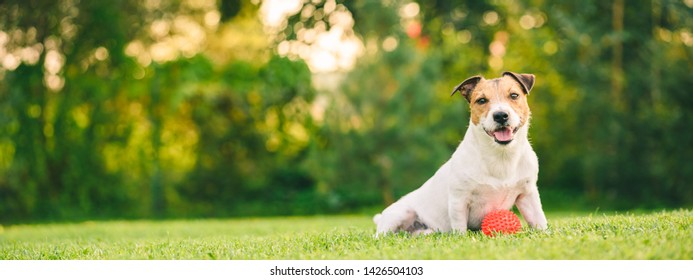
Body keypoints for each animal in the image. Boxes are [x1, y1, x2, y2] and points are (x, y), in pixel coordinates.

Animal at [374, 71, 548, 235]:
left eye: (514, 95)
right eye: (482, 100)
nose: (500, 115)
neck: (501, 156)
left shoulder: (527, 195)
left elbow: (539, 219)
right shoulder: (459, 199)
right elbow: (460, 228)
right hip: (400, 214)